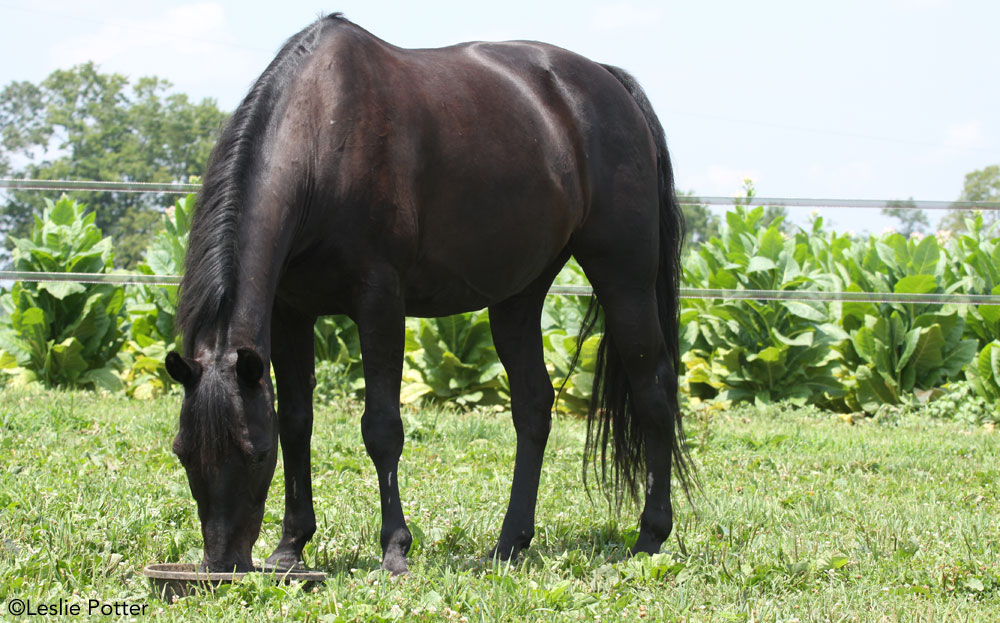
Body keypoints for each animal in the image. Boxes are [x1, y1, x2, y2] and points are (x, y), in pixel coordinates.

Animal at [168, 13, 692, 576]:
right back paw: (509, 544)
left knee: (654, 391)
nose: (222, 563)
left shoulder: (379, 300)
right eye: (182, 452)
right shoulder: (290, 312)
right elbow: (296, 421)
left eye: (256, 454)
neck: (324, 135)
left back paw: (650, 537)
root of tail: (609, 81)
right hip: (517, 297)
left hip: (624, 278)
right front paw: (291, 547)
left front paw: (395, 549)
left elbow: (381, 427)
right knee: (533, 406)